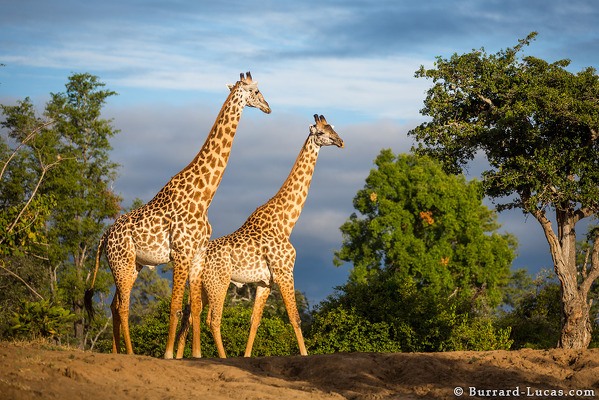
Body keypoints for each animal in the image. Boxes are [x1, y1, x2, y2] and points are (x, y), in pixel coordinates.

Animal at [84, 71, 272, 360]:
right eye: (256, 91)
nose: (268, 107)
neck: (204, 197)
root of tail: (104, 236)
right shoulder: (181, 254)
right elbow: (175, 305)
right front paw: (169, 353)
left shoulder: (197, 255)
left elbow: (194, 307)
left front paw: (195, 354)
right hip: (122, 263)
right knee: (123, 306)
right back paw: (130, 352)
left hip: (132, 265)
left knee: (115, 305)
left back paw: (117, 352)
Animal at [177, 114, 342, 358]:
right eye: (321, 132)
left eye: (333, 128)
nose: (341, 142)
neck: (286, 223)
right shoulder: (285, 272)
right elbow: (295, 318)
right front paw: (305, 355)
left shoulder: (265, 282)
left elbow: (255, 321)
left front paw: (246, 356)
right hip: (218, 282)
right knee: (213, 320)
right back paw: (221, 357)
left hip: (203, 284)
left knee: (189, 316)